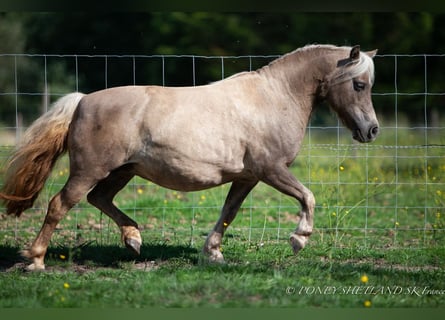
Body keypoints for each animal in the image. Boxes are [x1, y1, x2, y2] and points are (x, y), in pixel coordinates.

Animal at [0, 44, 378, 270]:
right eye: (359, 85)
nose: (372, 130)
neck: (274, 99)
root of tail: (83, 101)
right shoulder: (271, 169)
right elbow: (308, 197)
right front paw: (299, 239)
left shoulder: (247, 177)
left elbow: (229, 213)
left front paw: (213, 253)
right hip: (89, 171)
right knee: (59, 205)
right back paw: (35, 260)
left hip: (123, 171)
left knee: (100, 199)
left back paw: (134, 239)